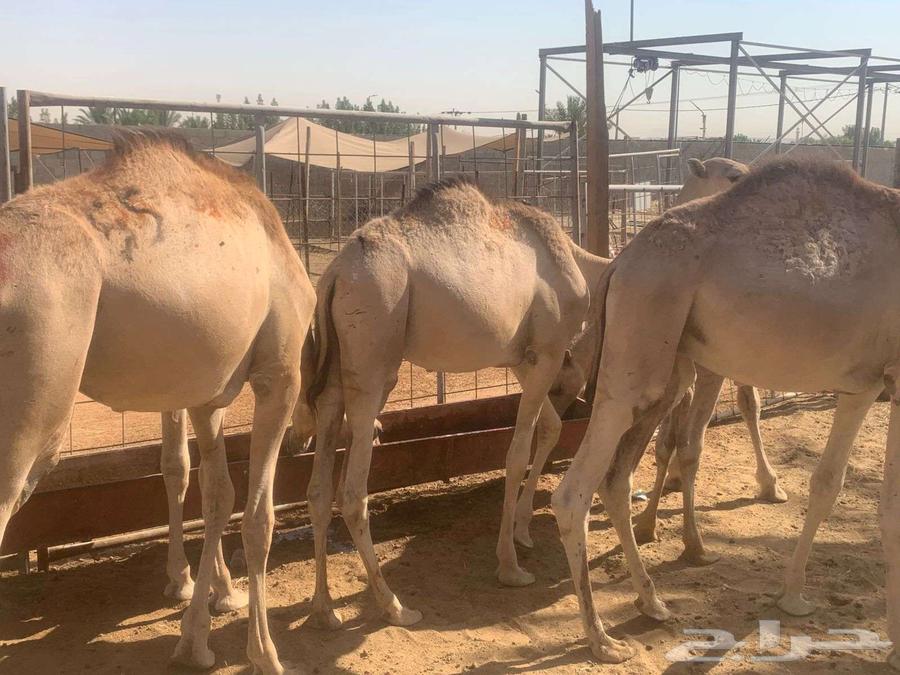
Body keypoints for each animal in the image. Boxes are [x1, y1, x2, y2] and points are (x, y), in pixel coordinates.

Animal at [0, 130, 314, 675]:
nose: (304, 437)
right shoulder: (279, 373)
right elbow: (257, 515)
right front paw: (264, 653)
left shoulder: (205, 392)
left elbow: (210, 490)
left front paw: (200, 627)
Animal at [303, 175, 608, 628]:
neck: (577, 259)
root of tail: (335, 275)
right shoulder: (548, 351)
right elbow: (516, 452)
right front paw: (510, 566)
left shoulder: (522, 357)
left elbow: (549, 427)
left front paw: (523, 531)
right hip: (375, 351)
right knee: (353, 493)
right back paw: (396, 606)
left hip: (337, 371)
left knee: (320, 486)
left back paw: (325, 609)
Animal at [551, 157, 900, 669]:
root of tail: (619, 263)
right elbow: (877, 502)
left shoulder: (868, 384)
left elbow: (833, 485)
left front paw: (791, 594)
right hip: (640, 349)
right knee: (573, 492)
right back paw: (602, 639)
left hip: (668, 362)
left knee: (617, 479)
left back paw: (652, 601)